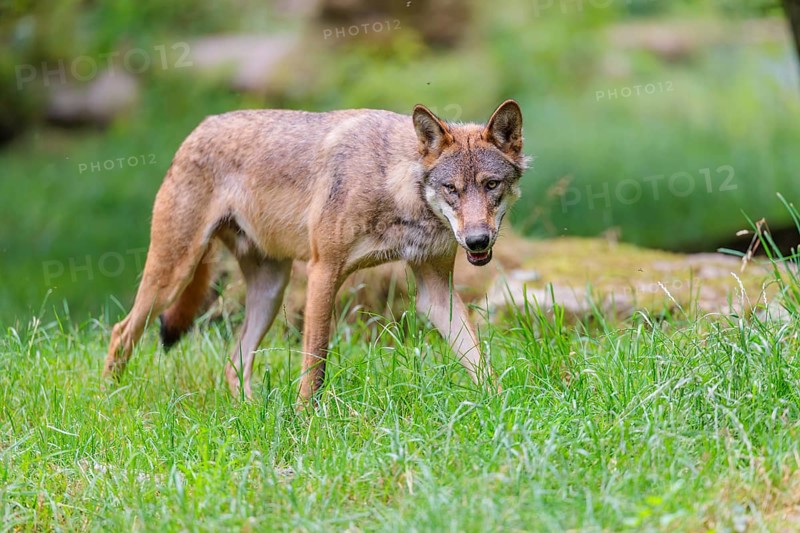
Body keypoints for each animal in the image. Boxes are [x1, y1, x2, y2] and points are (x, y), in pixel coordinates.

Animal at [104, 100, 528, 402]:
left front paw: (501, 406)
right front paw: (306, 419)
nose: (477, 241)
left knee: (234, 363)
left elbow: (478, 357)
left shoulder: (435, 292)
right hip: (172, 277)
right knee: (121, 332)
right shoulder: (324, 270)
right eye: (451, 189)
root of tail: (197, 128)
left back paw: (252, 414)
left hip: (270, 291)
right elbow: (316, 363)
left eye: (491, 185)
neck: (397, 190)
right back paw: (112, 403)